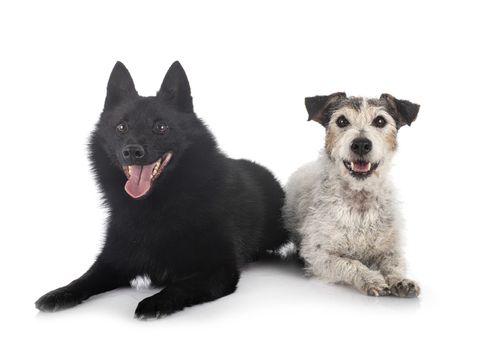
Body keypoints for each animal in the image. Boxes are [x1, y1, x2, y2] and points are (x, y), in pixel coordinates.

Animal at [35, 61, 290, 318]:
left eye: (160, 126)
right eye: (121, 126)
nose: (132, 151)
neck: (155, 206)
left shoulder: (218, 268)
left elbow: (180, 285)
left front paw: (155, 302)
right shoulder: (113, 260)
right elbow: (85, 278)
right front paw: (60, 293)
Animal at [284, 91, 420, 296]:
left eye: (380, 121)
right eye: (341, 121)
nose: (361, 144)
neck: (359, 200)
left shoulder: (389, 249)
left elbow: (394, 264)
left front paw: (400, 280)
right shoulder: (319, 255)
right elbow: (350, 263)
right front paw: (371, 279)